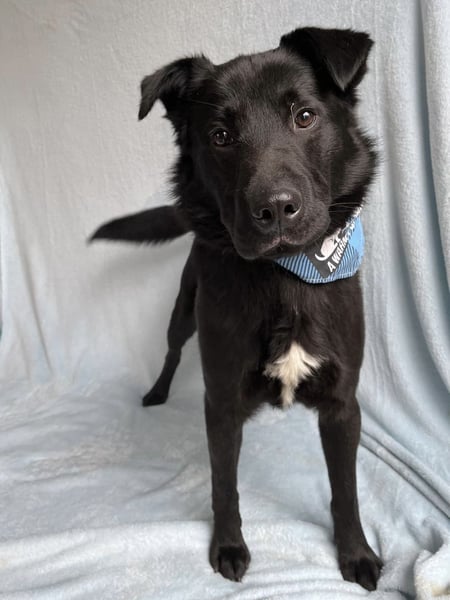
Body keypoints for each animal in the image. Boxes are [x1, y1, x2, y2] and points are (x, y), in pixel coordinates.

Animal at [91, 27, 383, 590]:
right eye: (221, 136)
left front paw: (356, 552)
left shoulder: (343, 404)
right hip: (184, 310)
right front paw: (228, 547)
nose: (275, 209)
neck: (287, 274)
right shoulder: (221, 402)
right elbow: (224, 485)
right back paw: (157, 392)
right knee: (171, 352)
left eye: (305, 116)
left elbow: (347, 490)